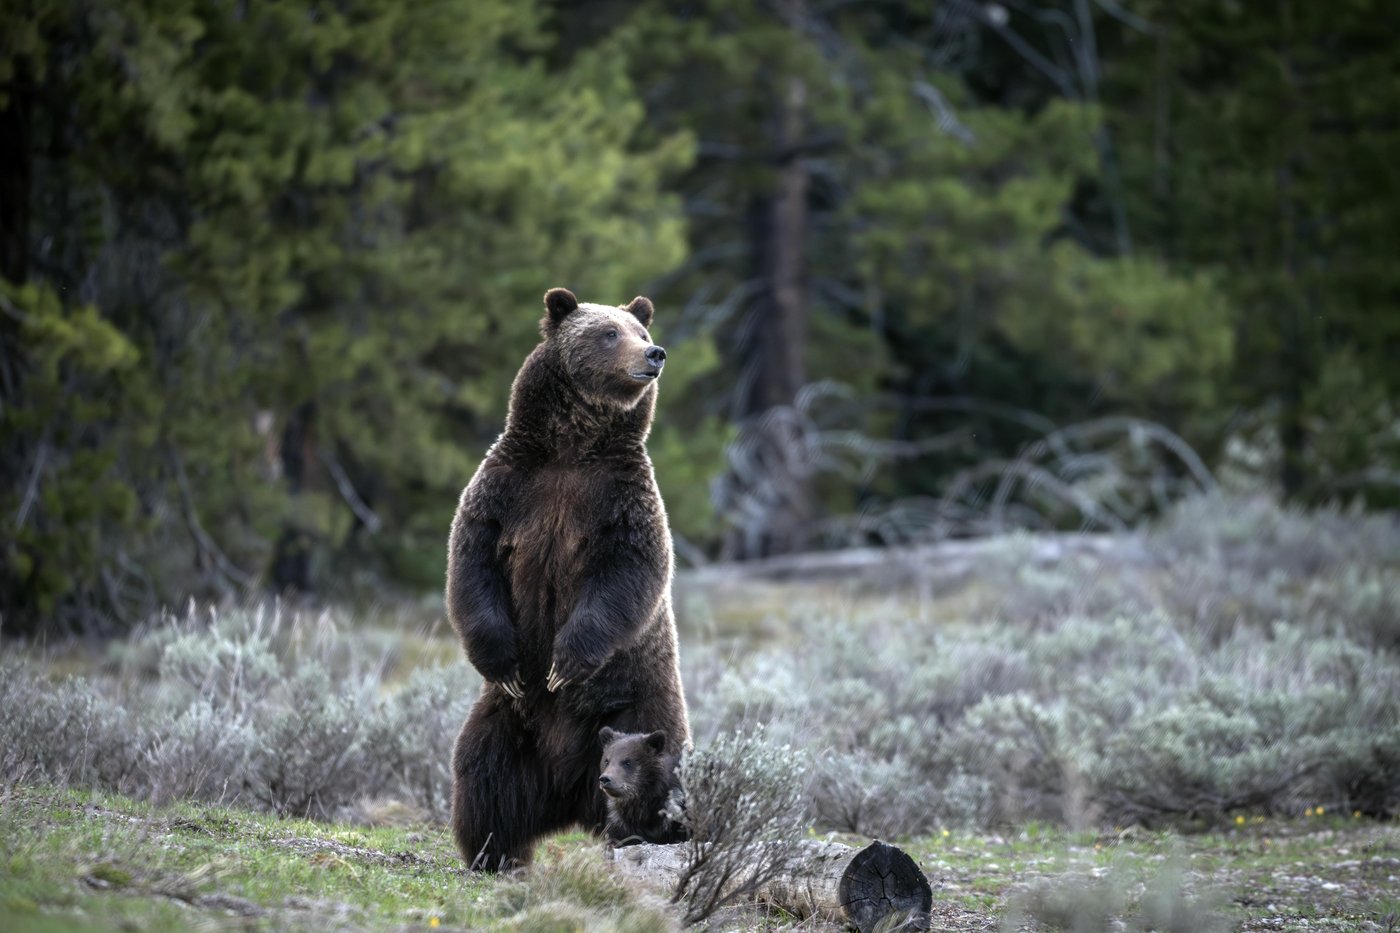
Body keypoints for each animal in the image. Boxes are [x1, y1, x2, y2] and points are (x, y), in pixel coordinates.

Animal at [446, 286, 691, 870]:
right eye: (609, 332)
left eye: (641, 331)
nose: (655, 354)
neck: (571, 448)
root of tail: (569, 792)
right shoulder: (508, 489)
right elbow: (473, 565)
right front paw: (506, 662)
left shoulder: (621, 500)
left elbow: (627, 575)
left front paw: (565, 663)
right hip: (509, 724)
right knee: (483, 775)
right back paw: (494, 853)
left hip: (640, 706)